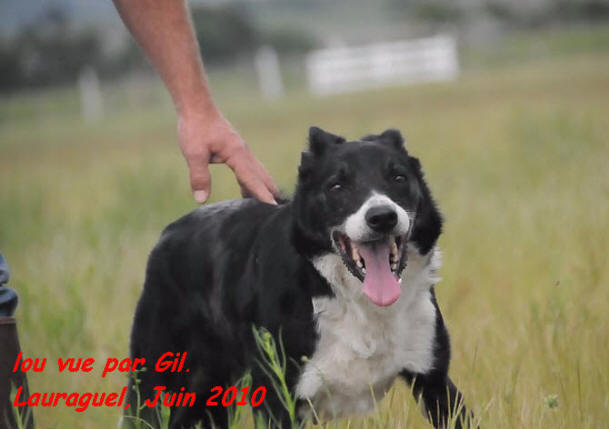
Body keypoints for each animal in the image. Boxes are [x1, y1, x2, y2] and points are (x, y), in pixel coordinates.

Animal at [127, 128, 470, 428]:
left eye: (398, 178)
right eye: (336, 186)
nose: (382, 217)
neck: (354, 299)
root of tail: (168, 233)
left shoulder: (435, 382)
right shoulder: (276, 400)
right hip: (157, 384)